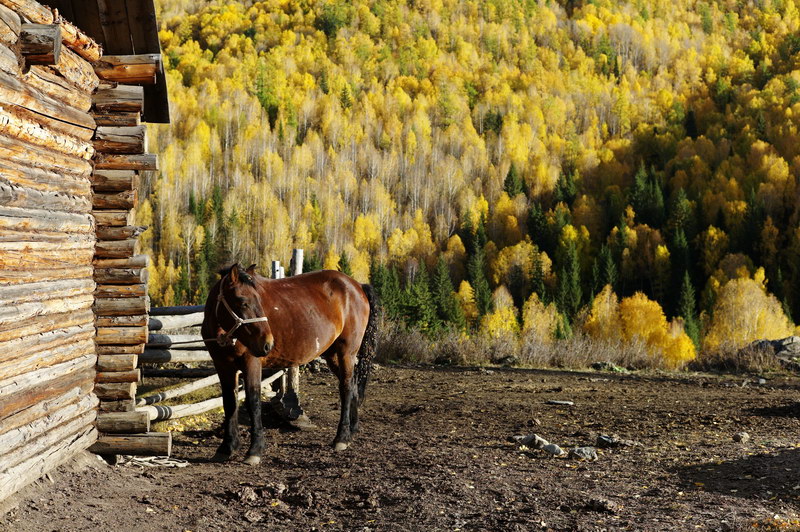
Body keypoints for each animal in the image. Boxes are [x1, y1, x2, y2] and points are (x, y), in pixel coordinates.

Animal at [198, 264, 376, 464]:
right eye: (243, 302)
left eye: (259, 300)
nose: (267, 343)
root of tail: (357, 286)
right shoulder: (223, 366)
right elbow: (229, 402)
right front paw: (227, 447)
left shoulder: (251, 363)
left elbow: (253, 401)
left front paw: (255, 450)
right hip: (333, 355)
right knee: (352, 386)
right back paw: (352, 430)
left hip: (346, 353)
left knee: (346, 388)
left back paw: (342, 438)